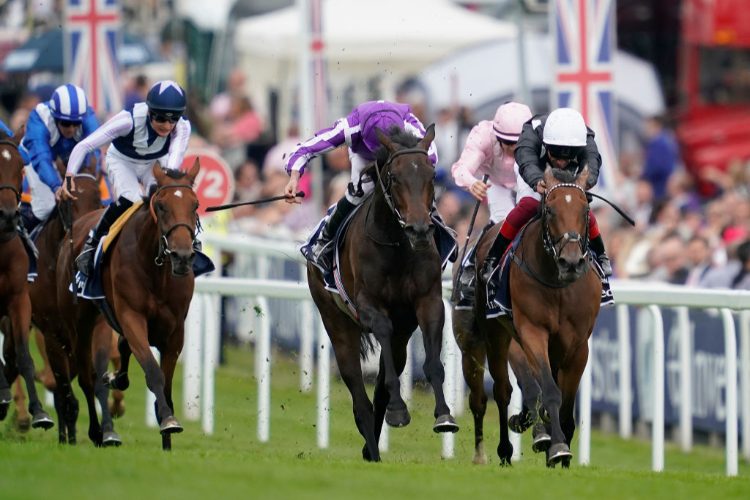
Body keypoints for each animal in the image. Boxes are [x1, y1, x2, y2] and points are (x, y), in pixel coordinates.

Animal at [308, 124, 462, 460]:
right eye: (394, 177)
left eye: (432, 175)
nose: (420, 230)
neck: (396, 245)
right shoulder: (369, 306)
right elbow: (381, 335)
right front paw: (398, 410)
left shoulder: (428, 302)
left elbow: (432, 364)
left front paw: (444, 414)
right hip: (336, 323)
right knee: (359, 394)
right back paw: (373, 444)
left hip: (403, 334)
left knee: (379, 386)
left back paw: (372, 447)